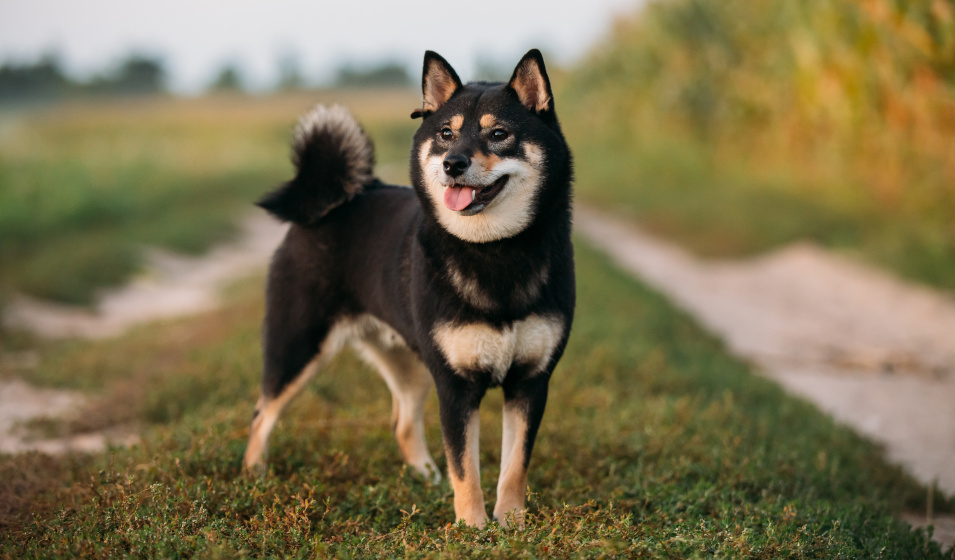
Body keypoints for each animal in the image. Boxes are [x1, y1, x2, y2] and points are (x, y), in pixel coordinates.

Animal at [246, 49, 576, 528]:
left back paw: (425, 476)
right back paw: (254, 475)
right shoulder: (456, 386)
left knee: (402, 424)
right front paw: (473, 528)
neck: (495, 251)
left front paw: (512, 524)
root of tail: (335, 201)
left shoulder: (530, 381)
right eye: (445, 133)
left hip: (411, 362)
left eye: (499, 134)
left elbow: (514, 465)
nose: (453, 163)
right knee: (262, 411)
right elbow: (467, 467)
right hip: (300, 346)